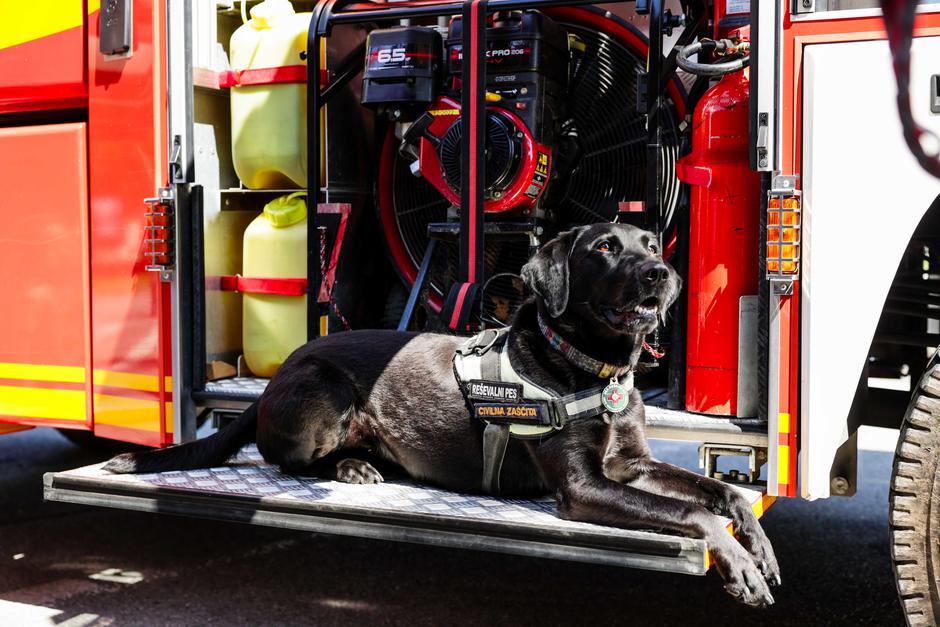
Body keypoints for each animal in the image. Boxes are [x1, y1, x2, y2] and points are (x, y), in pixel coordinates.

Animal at [106, 223, 780, 604]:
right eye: (606, 248)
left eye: (652, 245)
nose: (661, 273)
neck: (593, 368)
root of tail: (277, 377)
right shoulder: (583, 487)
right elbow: (695, 514)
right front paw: (739, 565)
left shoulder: (633, 466)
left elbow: (722, 495)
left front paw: (759, 545)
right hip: (327, 389)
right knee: (287, 464)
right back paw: (352, 470)